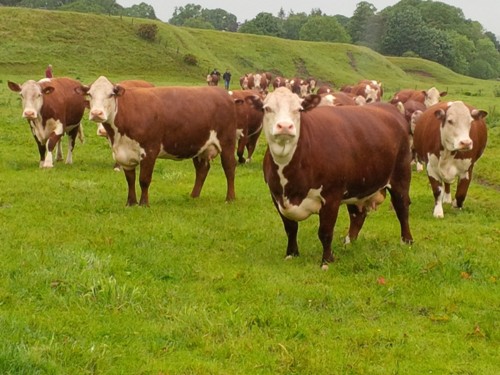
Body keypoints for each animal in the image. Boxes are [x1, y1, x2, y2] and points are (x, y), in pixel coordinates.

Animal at [79, 75, 239, 206]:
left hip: (227, 142)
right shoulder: (124, 154)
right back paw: (193, 196)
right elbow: (130, 180)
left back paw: (230, 198)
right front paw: (131, 202)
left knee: (229, 168)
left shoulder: (149, 150)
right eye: (90, 94)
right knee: (202, 170)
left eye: (111, 94)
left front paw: (144, 204)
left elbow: (144, 179)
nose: (96, 113)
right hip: (200, 146)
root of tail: (223, 94)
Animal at [247, 87, 414, 270]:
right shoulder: (276, 196)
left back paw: (407, 241)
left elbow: (325, 232)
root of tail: (390, 108)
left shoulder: (332, 195)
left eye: (299, 109)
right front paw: (291, 254)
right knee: (357, 214)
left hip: (400, 175)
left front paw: (326, 261)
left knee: (402, 208)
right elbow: (290, 227)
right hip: (357, 185)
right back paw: (349, 242)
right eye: (267, 108)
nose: (285, 126)